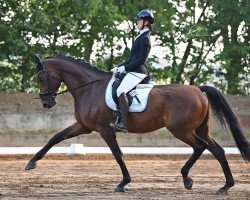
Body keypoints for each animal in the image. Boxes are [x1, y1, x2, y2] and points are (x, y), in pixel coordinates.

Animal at [25, 54, 250, 195]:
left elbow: (118, 154)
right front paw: (32, 162)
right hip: (200, 129)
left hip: (181, 130)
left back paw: (187, 179)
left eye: (41, 76)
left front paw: (123, 183)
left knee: (200, 147)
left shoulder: (105, 129)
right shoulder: (84, 126)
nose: (46, 103)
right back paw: (225, 187)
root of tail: (198, 89)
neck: (89, 88)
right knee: (217, 150)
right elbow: (55, 137)